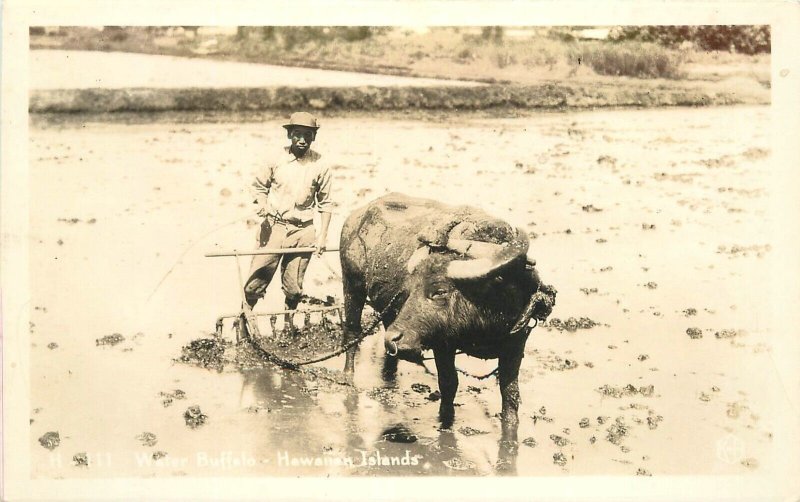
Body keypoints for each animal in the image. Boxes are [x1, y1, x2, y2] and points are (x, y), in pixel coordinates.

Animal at [340, 193, 556, 432]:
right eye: (409, 290)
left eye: (439, 291)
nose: (395, 339)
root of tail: (356, 216)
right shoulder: (442, 345)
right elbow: (449, 384)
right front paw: (446, 420)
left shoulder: (516, 344)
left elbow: (510, 393)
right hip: (352, 285)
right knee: (352, 332)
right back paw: (348, 377)